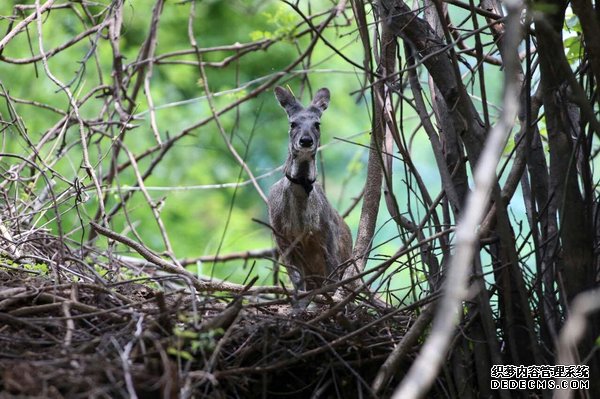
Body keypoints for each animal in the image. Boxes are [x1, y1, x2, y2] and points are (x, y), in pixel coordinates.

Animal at [268, 86, 352, 294]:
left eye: (317, 124)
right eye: (292, 123)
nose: (305, 141)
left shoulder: (328, 234)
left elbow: (332, 280)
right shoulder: (281, 239)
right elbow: (297, 281)